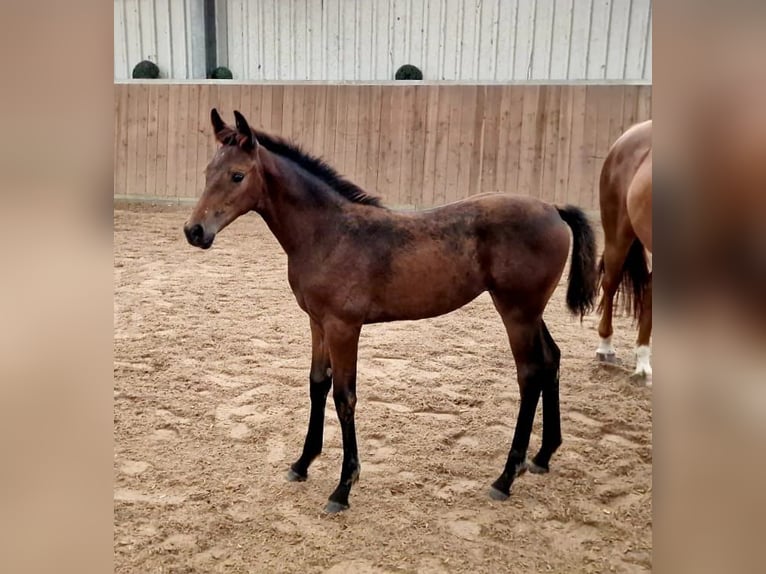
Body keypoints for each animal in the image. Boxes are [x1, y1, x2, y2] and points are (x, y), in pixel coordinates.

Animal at [184, 110, 600, 516]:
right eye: (207, 171)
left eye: (237, 175)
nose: (194, 231)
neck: (329, 233)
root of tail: (552, 209)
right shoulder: (317, 322)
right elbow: (317, 384)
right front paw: (302, 463)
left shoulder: (344, 327)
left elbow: (344, 397)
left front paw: (343, 487)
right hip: (530, 311)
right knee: (551, 360)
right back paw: (543, 456)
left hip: (516, 312)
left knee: (529, 375)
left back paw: (506, 477)